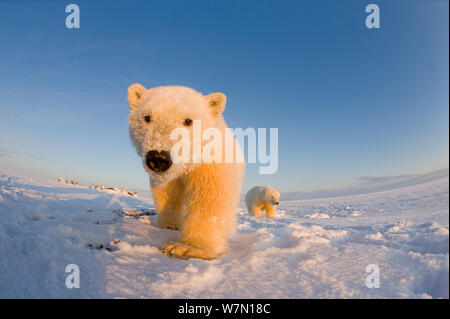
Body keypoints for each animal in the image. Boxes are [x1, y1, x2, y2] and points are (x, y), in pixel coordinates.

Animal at [126, 84, 246, 260]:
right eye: (147, 117)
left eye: (188, 121)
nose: (158, 158)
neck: (185, 165)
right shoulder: (169, 178)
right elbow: (168, 193)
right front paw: (169, 225)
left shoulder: (210, 163)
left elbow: (209, 197)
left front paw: (188, 248)